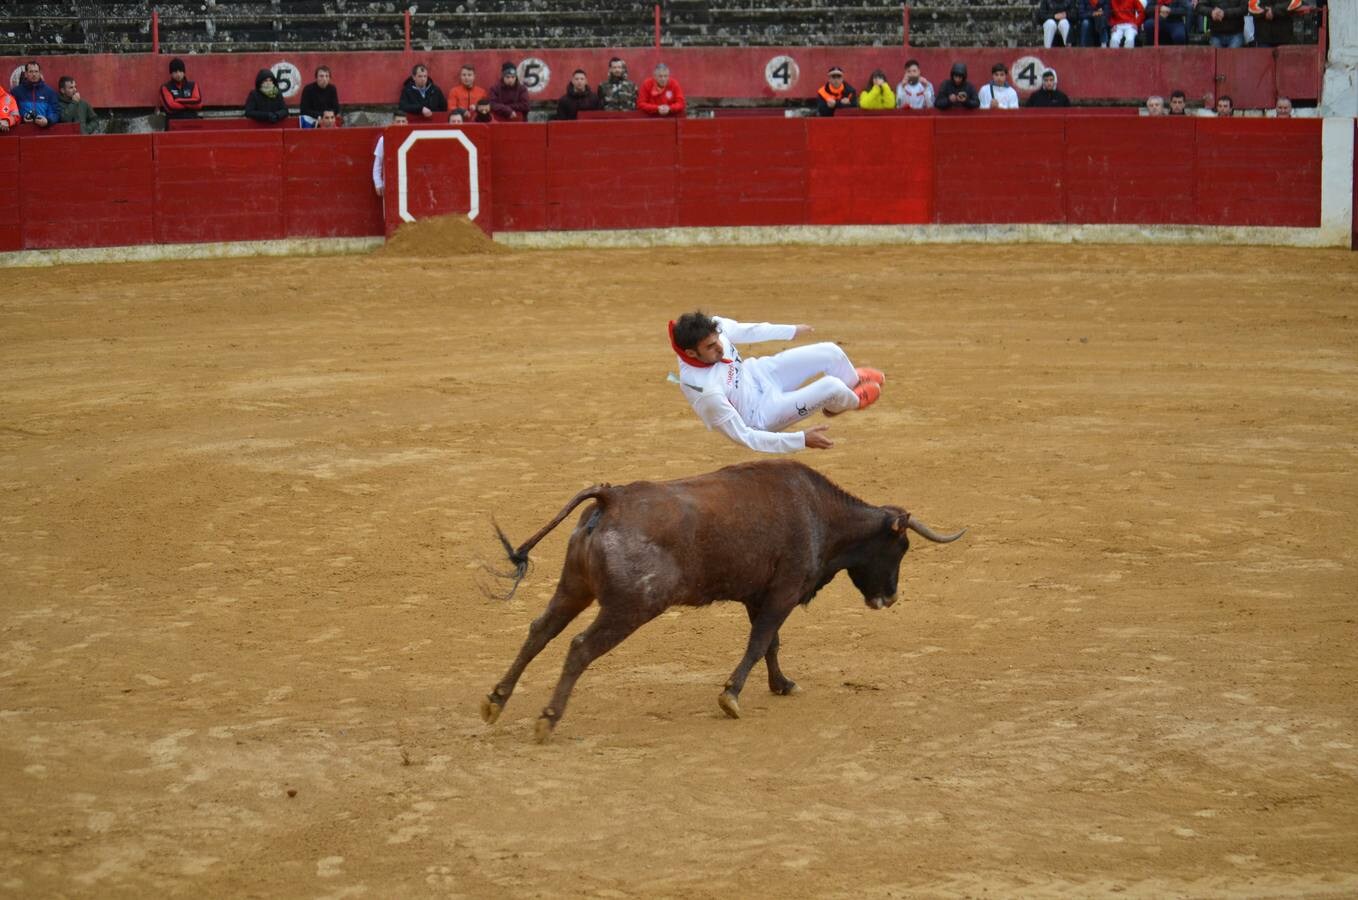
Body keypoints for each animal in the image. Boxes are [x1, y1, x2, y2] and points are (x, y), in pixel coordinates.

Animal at [478, 461, 966, 743]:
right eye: (900, 548)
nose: (890, 597)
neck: (819, 512)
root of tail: (612, 497)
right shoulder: (784, 592)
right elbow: (760, 642)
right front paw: (731, 696)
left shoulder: (758, 595)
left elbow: (770, 644)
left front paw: (781, 684)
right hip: (630, 607)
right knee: (579, 648)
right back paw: (547, 719)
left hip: (574, 588)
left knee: (539, 631)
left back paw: (496, 700)